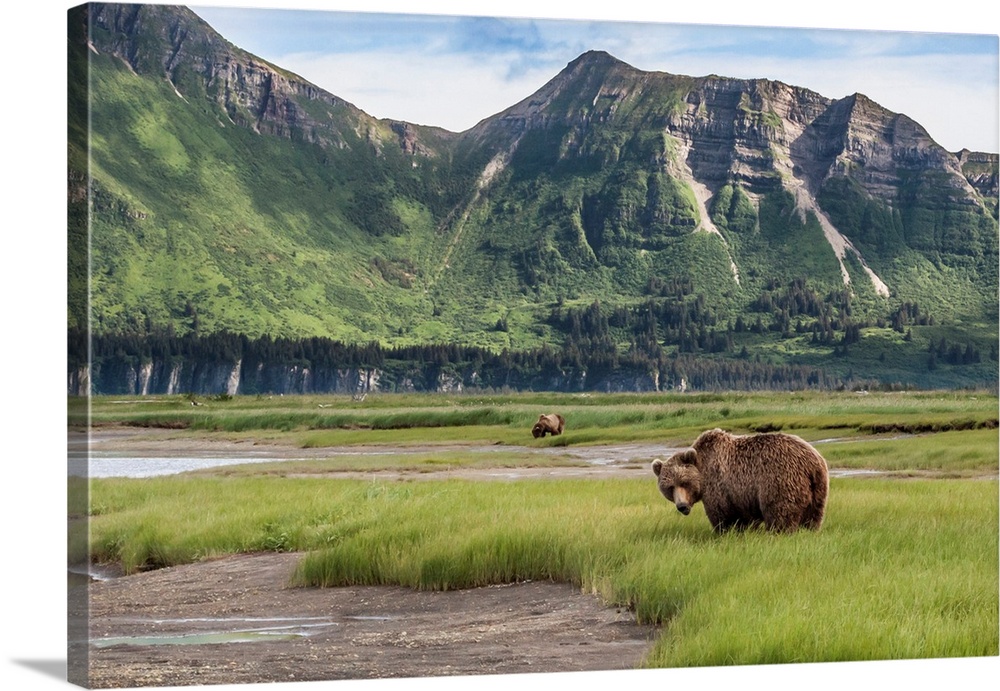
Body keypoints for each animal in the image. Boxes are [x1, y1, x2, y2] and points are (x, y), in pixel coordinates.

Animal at [648, 428, 828, 536]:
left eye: (684, 482)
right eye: (669, 487)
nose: (682, 506)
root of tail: (813, 461)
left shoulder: (719, 486)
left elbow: (722, 516)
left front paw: (725, 533)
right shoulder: (741, 497)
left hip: (781, 480)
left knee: (780, 514)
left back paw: (779, 533)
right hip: (817, 490)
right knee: (813, 517)